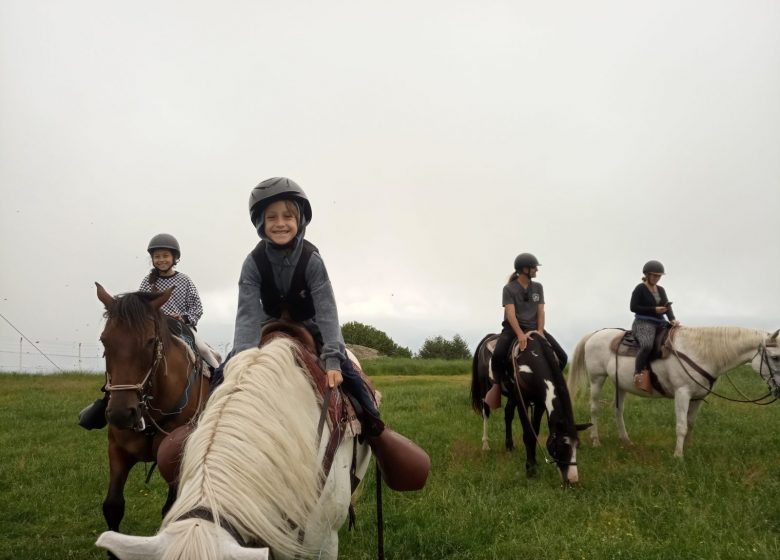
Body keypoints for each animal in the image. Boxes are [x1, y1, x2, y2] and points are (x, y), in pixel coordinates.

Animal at [95, 280, 210, 552]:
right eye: (104, 340)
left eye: (150, 341)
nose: (121, 414)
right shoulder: (117, 451)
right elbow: (113, 506)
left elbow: (171, 511)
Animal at [470, 330, 592, 484]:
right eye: (559, 446)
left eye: (577, 445)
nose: (573, 479)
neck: (532, 360)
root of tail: (488, 337)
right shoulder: (523, 401)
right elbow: (528, 434)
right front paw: (530, 469)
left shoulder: (539, 403)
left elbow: (535, 432)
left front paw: (534, 461)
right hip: (485, 388)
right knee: (486, 413)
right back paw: (486, 445)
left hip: (512, 396)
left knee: (508, 414)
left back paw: (509, 446)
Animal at [568, 326, 780, 458]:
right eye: (776, 357)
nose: (779, 389)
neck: (701, 352)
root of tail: (595, 334)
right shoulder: (682, 394)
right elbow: (681, 425)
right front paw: (678, 456)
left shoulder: (698, 397)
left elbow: (690, 424)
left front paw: (688, 448)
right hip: (597, 378)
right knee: (594, 408)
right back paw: (596, 441)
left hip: (620, 384)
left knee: (618, 410)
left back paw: (626, 441)